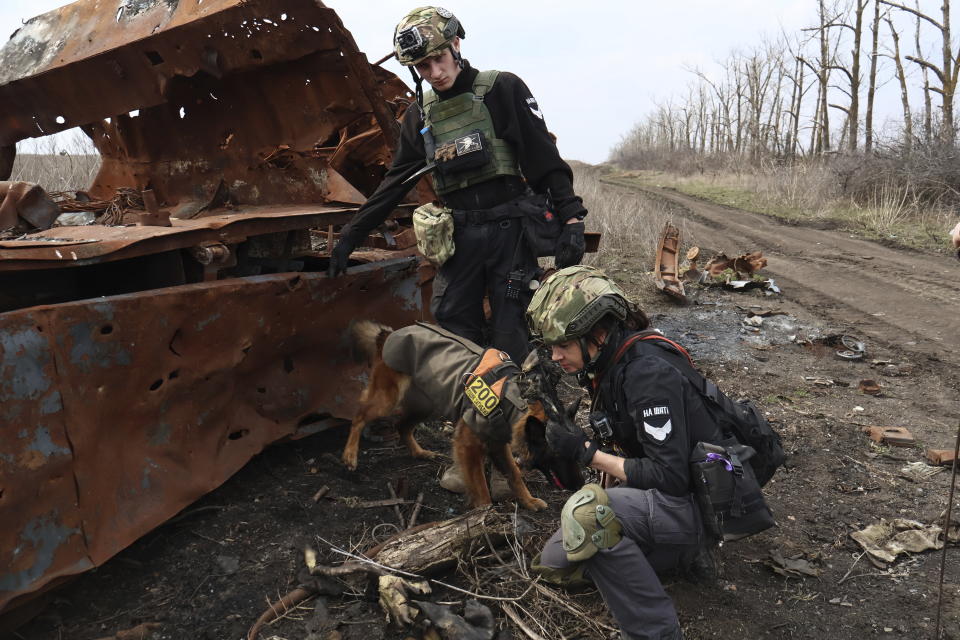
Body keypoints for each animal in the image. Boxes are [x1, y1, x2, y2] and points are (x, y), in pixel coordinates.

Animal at [344, 320, 584, 510]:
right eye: (557, 455)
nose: (580, 485)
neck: (515, 400)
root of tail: (388, 335)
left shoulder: (498, 443)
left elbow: (514, 475)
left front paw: (528, 500)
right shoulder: (468, 447)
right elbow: (481, 487)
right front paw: (485, 518)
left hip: (427, 406)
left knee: (402, 425)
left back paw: (419, 452)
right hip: (388, 400)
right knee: (359, 415)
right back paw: (350, 455)